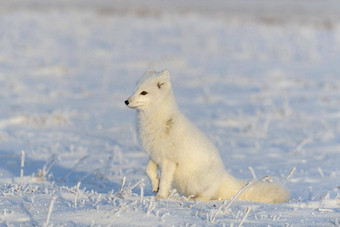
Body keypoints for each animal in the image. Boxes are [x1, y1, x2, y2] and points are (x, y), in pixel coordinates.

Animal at [125, 70, 290, 203]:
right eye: (135, 90)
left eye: (144, 93)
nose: (126, 101)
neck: (156, 120)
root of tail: (222, 176)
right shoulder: (155, 154)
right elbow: (148, 170)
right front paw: (155, 185)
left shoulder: (169, 160)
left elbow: (165, 181)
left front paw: (160, 196)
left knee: (207, 196)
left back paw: (196, 200)